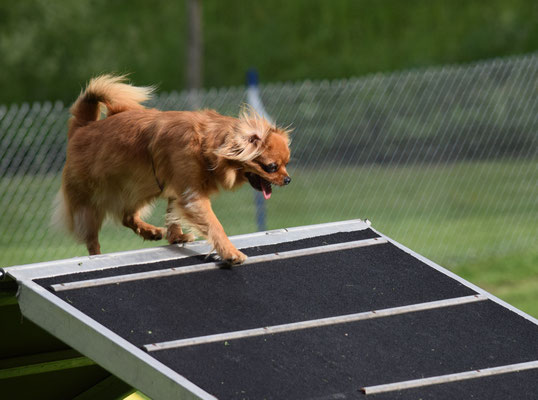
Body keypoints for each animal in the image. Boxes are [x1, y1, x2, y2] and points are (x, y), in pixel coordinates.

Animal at [54, 75, 288, 264]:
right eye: (272, 167)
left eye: (286, 164)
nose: (288, 180)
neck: (205, 143)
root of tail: (82, 127)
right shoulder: (193, 196)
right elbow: (215, 225)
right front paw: (230, 252)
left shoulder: (178, 189)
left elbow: (172, 214)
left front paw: (176, 237)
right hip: (89, 205)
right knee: (93, 238)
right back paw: (97, 256)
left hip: (140, 188)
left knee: (127, 217)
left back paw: (151, 232)